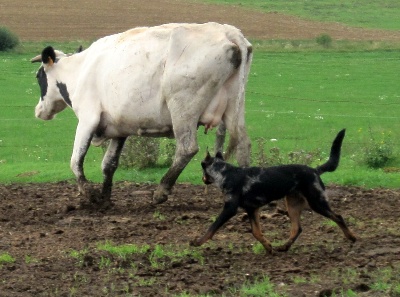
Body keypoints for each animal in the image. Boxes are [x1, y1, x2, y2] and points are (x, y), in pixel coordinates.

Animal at [31, 22, 252, 206]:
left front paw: (89, 195)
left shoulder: (87, 120)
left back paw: (161, 191)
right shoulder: (119, 130)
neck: (80, 70)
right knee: (243, 146)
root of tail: (228, 32)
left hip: (183, 110)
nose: (38, 110)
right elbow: (108, 164)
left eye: (39, 75)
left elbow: (75, 161)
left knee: (186, 148)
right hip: (235, 108)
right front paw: (104, 199)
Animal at [191, 130, 356, 252]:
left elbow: (213, 227)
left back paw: (352, 237)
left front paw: (198, 242)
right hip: (293, 204)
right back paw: (284, 247)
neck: (225, 172)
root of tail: (315, 170)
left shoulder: (230, 209)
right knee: (297, 228)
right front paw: (269, 247)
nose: (202, 179)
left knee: (338, 217)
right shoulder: (252, 209)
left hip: (316, 202)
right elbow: (256, 232)